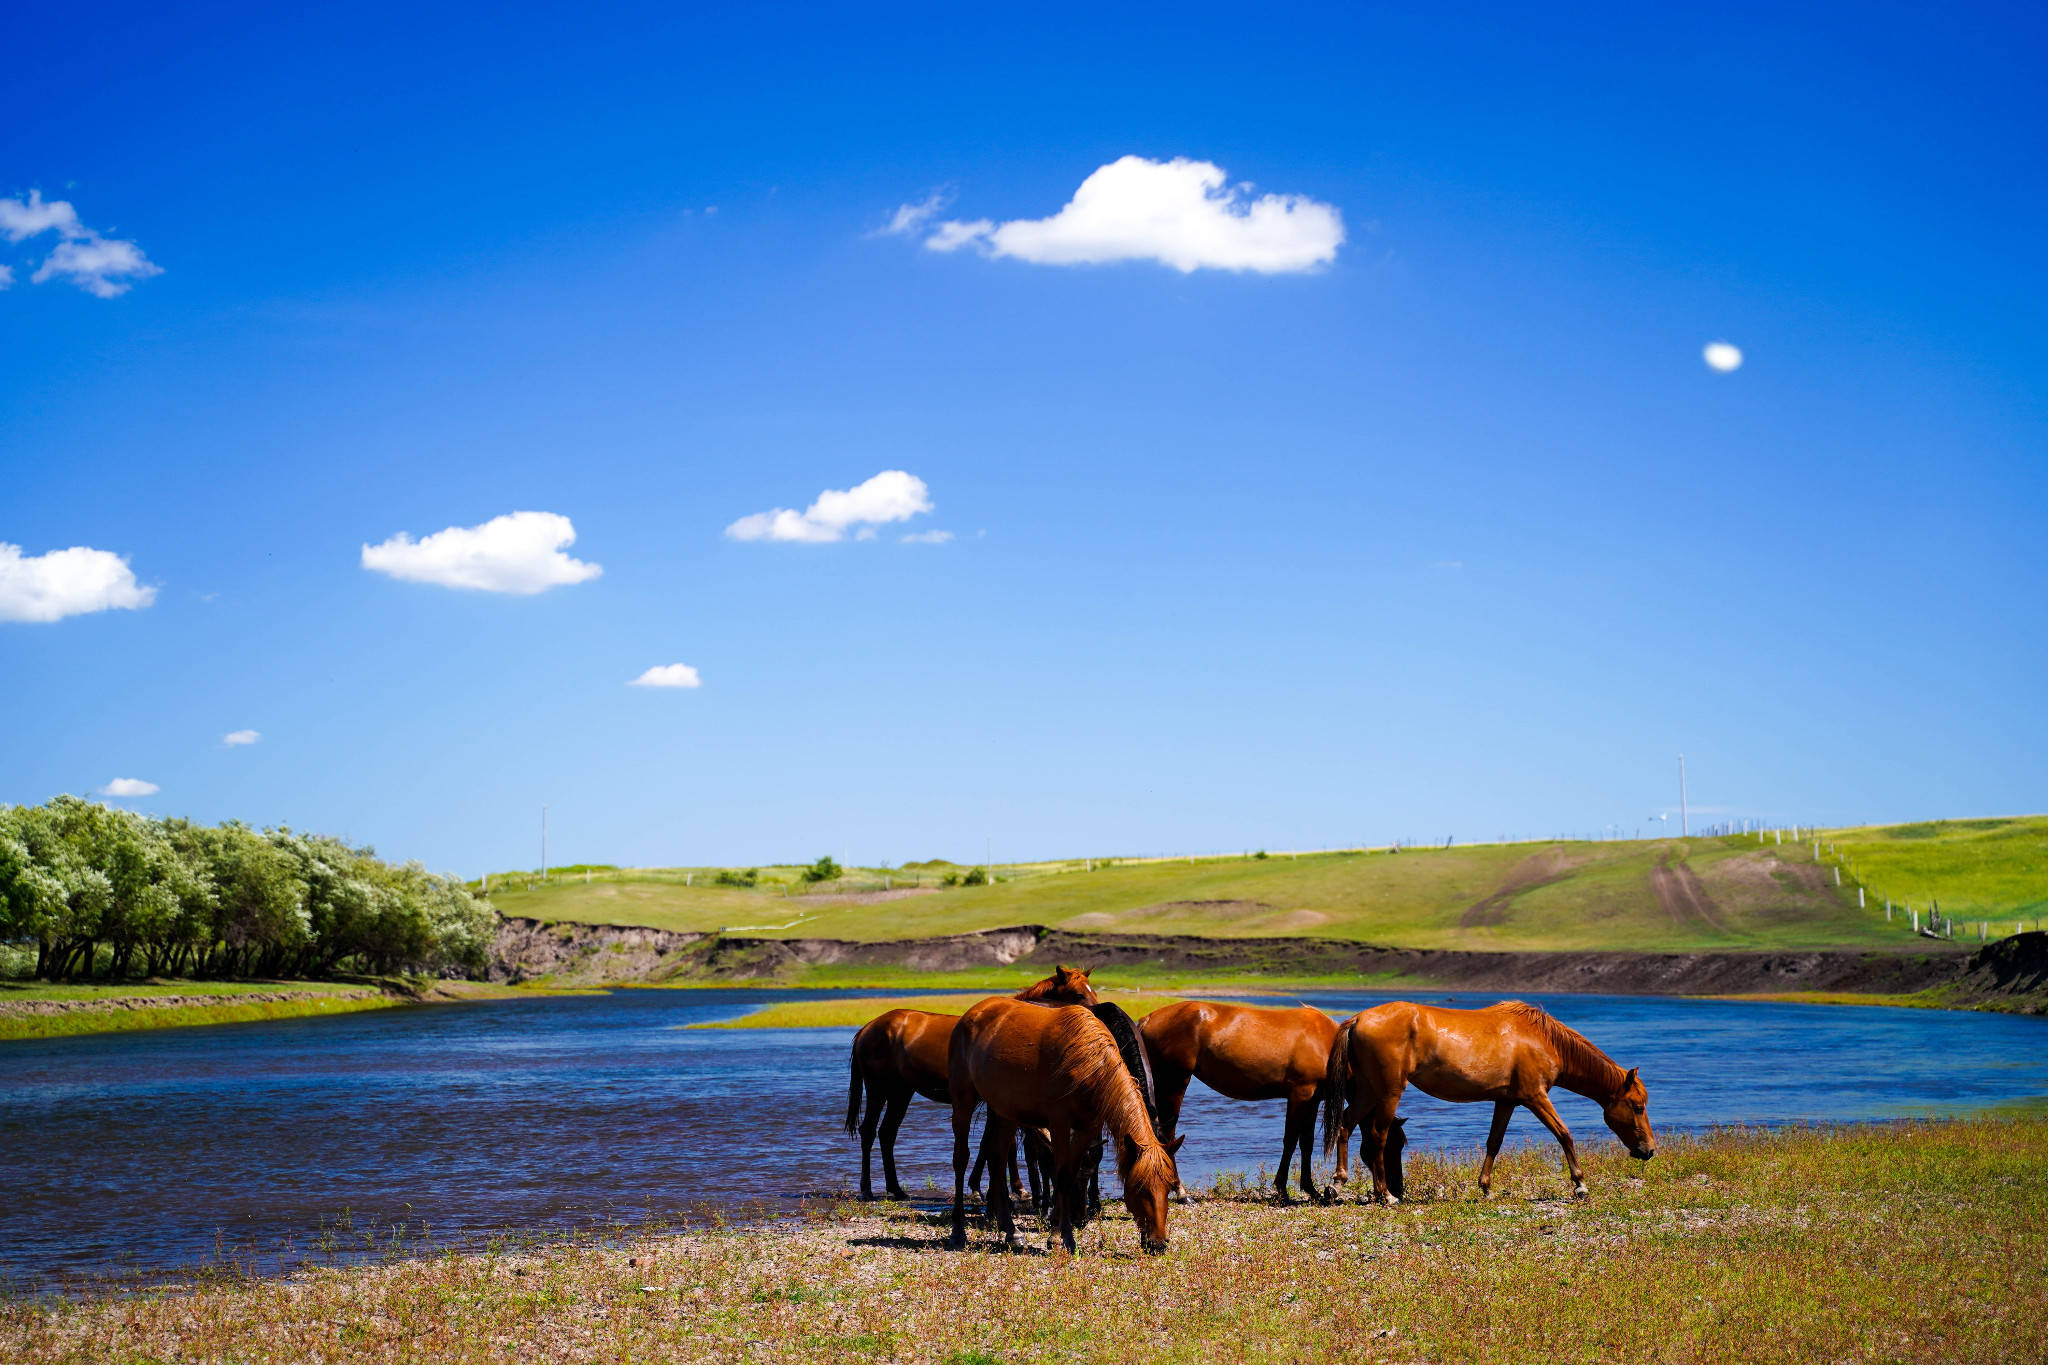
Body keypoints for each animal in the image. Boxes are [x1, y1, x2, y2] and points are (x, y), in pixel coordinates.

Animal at [839, 965, 1097, 1203]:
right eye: (1078, 994)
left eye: (1092, 990)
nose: (1095, 1019)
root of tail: (867, 1028)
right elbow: (999, 1145)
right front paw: (989, 1189)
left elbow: (998, 1143)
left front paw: (1000, 1188)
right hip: (878, 1090)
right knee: (869, 1131)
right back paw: (867, 1189)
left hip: (901, 1093)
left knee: (887, 1133)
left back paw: (896, 1189)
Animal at [946, 998, 1187, 1252]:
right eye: (1140, 1187)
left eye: (1169, 1186)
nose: (1158, 1243)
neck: (1087, 1061)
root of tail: (973, 1012)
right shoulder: (1059, 1123)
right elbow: (1061, 1174)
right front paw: (1061, 1237)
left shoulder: (1087, 1127)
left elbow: (1071, 1172)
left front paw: (1060, 1231)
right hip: (963, 1101)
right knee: (961, 1159)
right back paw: (958, 1232)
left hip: (1005, 1112)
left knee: (997, 1158)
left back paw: (1011, 1231)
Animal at [1146, 998, 1335, 1203]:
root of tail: (1148, 1019)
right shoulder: (1300, 1095)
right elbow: (1290, 1141)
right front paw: (1282, 1190)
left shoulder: (1313, 1100)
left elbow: (1307, 1142)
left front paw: (1312, 1190)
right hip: (1174, 1083)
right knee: (1168, 1135)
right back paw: (1181, 1192)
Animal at [1318, 998, 1654, 1203]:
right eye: (1637, 1107)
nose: (1649, 1150)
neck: (1542, 1039)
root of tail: (1357, 1019)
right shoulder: (1536, 1096)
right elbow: (1564, 1134)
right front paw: (1580, 1185)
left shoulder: (1507, 1101)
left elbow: (1495, 1141)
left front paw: (1486, 1187)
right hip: (1388, 1091)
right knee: (1376, 1136)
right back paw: (1385, 1194)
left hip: (1368, 1089)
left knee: (1346, 1125)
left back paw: (1338, 1182)